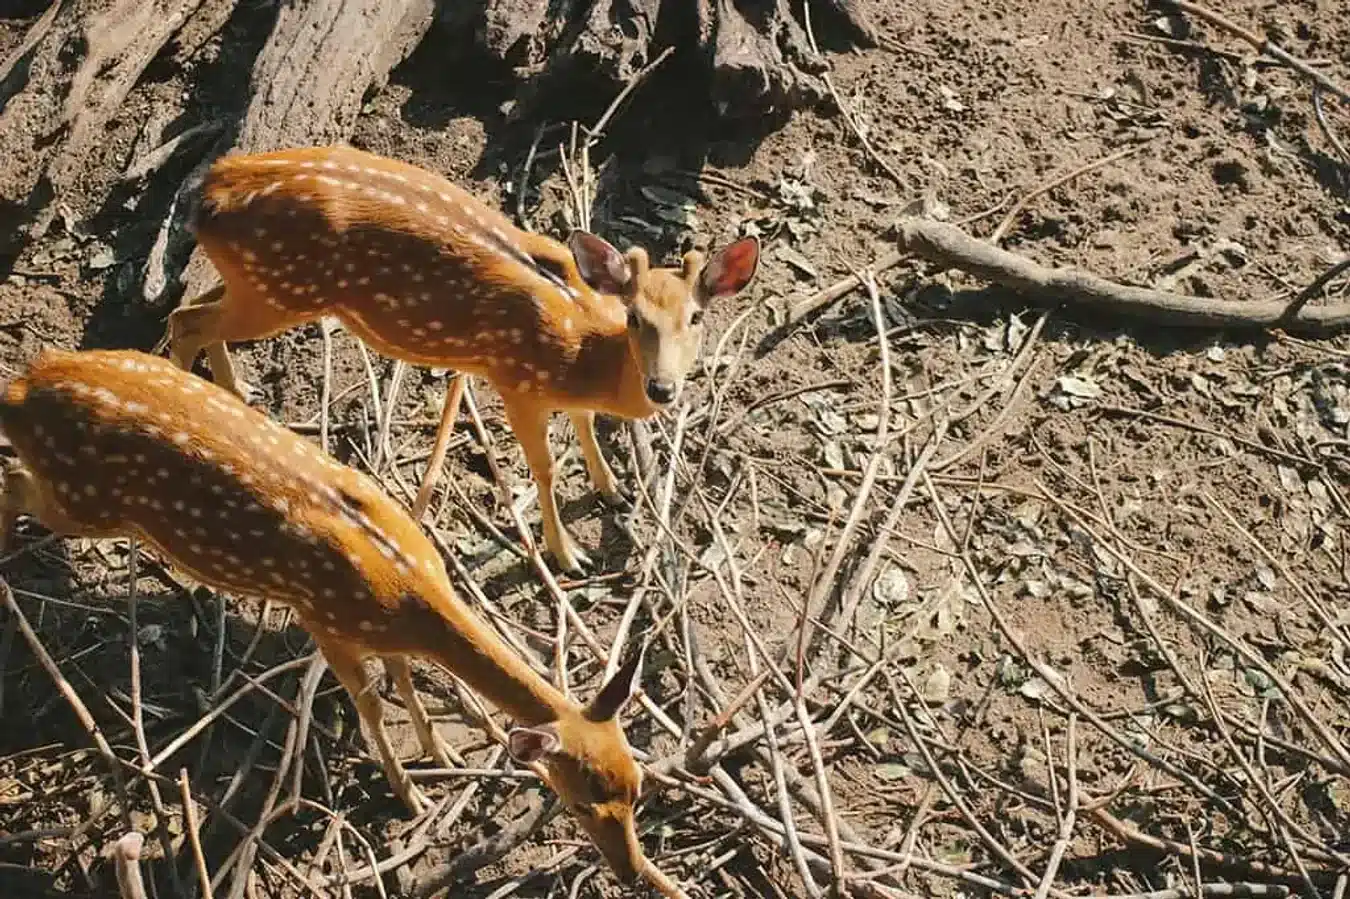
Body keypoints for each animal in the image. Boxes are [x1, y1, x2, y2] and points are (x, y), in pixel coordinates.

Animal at [2, 348, 685, 890]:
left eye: (636, 784)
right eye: (582, 803)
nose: (630, 871)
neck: (408, 589)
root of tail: (24, 385)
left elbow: (404, 678)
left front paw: (436, 747)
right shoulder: (325, 619)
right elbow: (372, 703)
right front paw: (409, 793)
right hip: (83, 501)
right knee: (15, 482)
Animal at [166, 143, 761, 569]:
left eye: (697, 318)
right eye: (634, 317)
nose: (662, 387)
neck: (580, 351)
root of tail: (210, 191)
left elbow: (585, 421)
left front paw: (611, 489)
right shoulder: (514, 380)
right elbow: (544, 467)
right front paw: (567, 554)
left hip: (258, 285)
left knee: (195, 306)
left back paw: (236, 393)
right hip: (281, 290)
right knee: (184, 319)